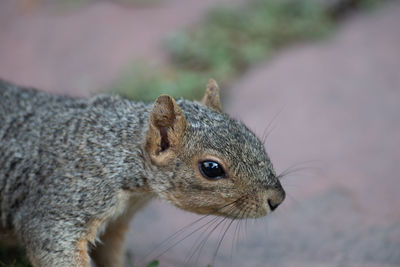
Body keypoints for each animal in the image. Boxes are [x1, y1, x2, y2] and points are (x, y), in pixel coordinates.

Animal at [1, 79, 286, 267]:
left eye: (253, 138)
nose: (277, 199)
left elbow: (110, 255)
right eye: (211, 168)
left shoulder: (116, 223)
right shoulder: (63, 203)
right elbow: (51, 243)